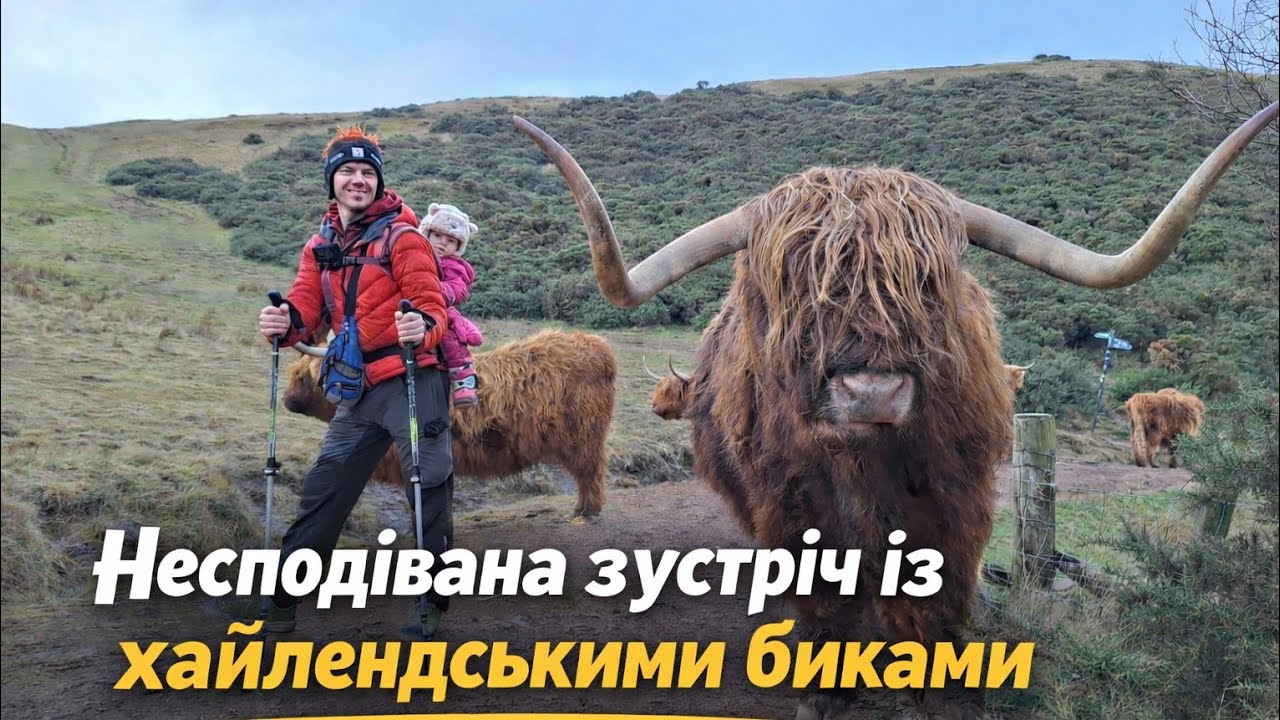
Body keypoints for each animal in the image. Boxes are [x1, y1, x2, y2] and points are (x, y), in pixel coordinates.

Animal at [284, 328, 616, 520]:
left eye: (301, 377)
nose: (286, 400)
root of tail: (596, 345)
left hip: (582, 436)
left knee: (591, 472)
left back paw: (586, 511)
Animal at [511, 103, 1276, 718]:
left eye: (928, 282)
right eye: (792, 285)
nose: (871, 393)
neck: (864, 464)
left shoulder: (952, 504)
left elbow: (931, 610)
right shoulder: (793, 509)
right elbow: (825, 608)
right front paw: (826, 692)